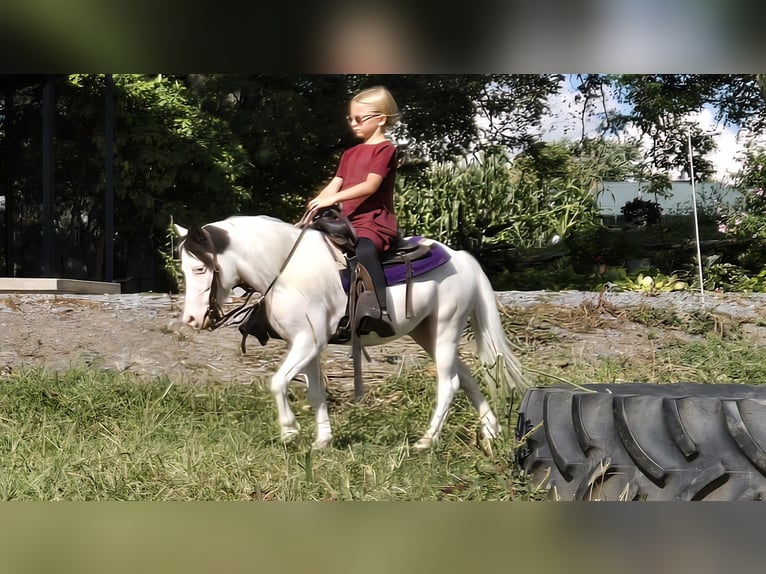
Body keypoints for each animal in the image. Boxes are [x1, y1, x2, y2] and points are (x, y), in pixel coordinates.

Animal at [174, 214, 531, 450]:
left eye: (200, 268)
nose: (191, 319)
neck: (288, 270)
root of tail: (461, 258)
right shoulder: (308, 345)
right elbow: (315, 392)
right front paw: (322, 441)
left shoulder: (307, 342)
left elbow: (276, 382)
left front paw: (289, 431)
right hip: (426, 332)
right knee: (466, 376)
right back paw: (490, 432)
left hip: (446, 327)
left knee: (450, 383)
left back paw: (426, 441)